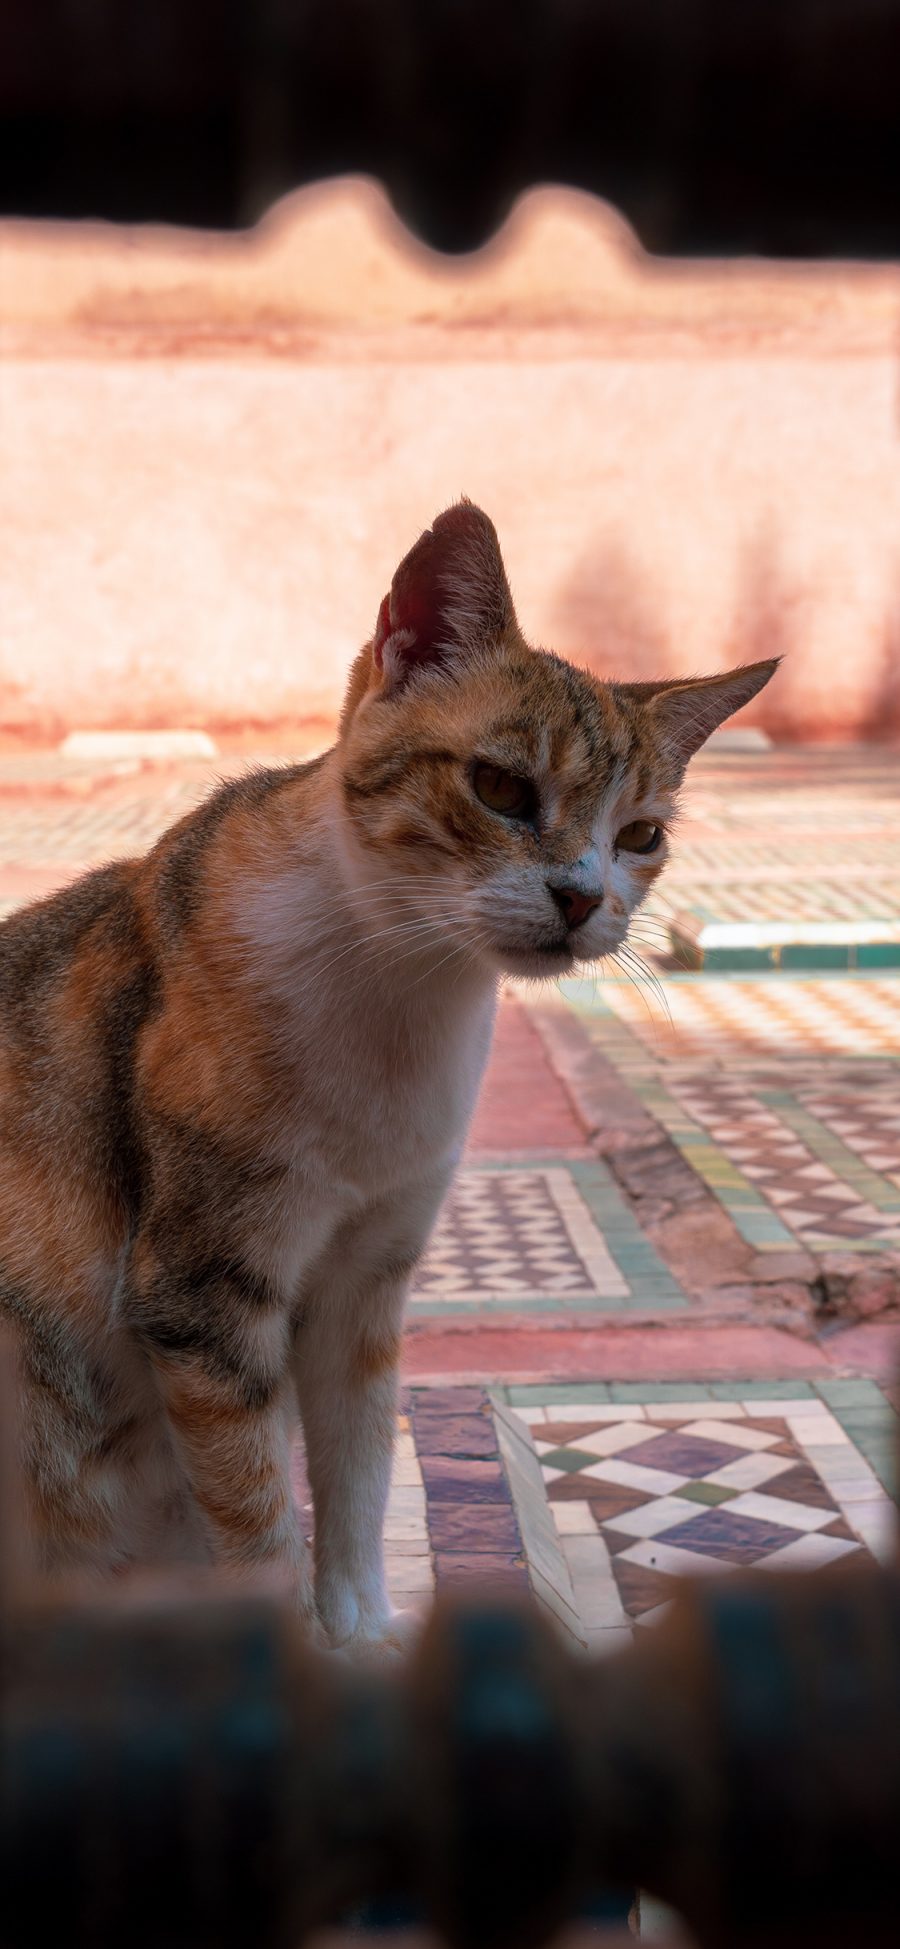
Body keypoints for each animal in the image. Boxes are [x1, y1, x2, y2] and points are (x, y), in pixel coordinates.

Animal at [0, 506, 775, 1660]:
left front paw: (363, 1631)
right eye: (500, 787)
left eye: (642, 835)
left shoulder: (371, 1275)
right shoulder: (204, 1286)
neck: (400, 993)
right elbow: (256, 1513)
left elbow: (360, 1473)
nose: (584, 896)